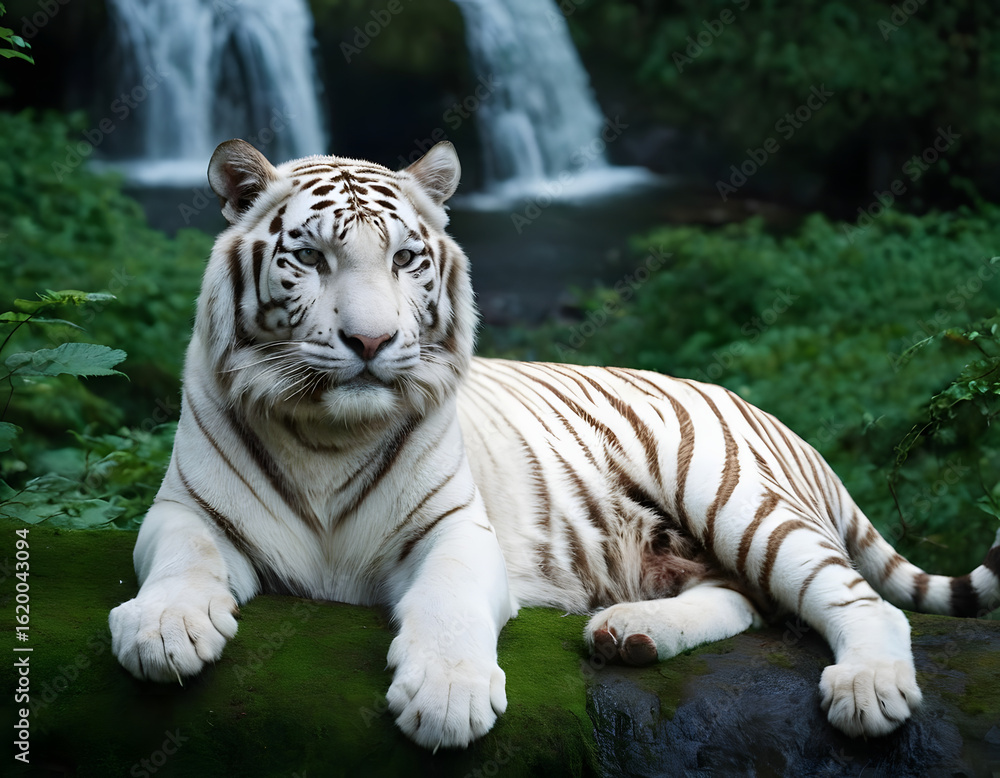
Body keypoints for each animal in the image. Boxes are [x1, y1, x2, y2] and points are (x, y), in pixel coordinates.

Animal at [109, 137, 1000, 752]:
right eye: (310, 257)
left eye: (405, 258)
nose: (371, 341)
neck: (328, 432)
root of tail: (776, 420)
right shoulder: (186, 509)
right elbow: (185, 561)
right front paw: (165, 632)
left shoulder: (455, 529)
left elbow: (446, 604)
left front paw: (447, 696)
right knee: (747, 600)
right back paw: (632, 632)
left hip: (735, 498)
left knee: (859, 601)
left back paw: (868, 690)